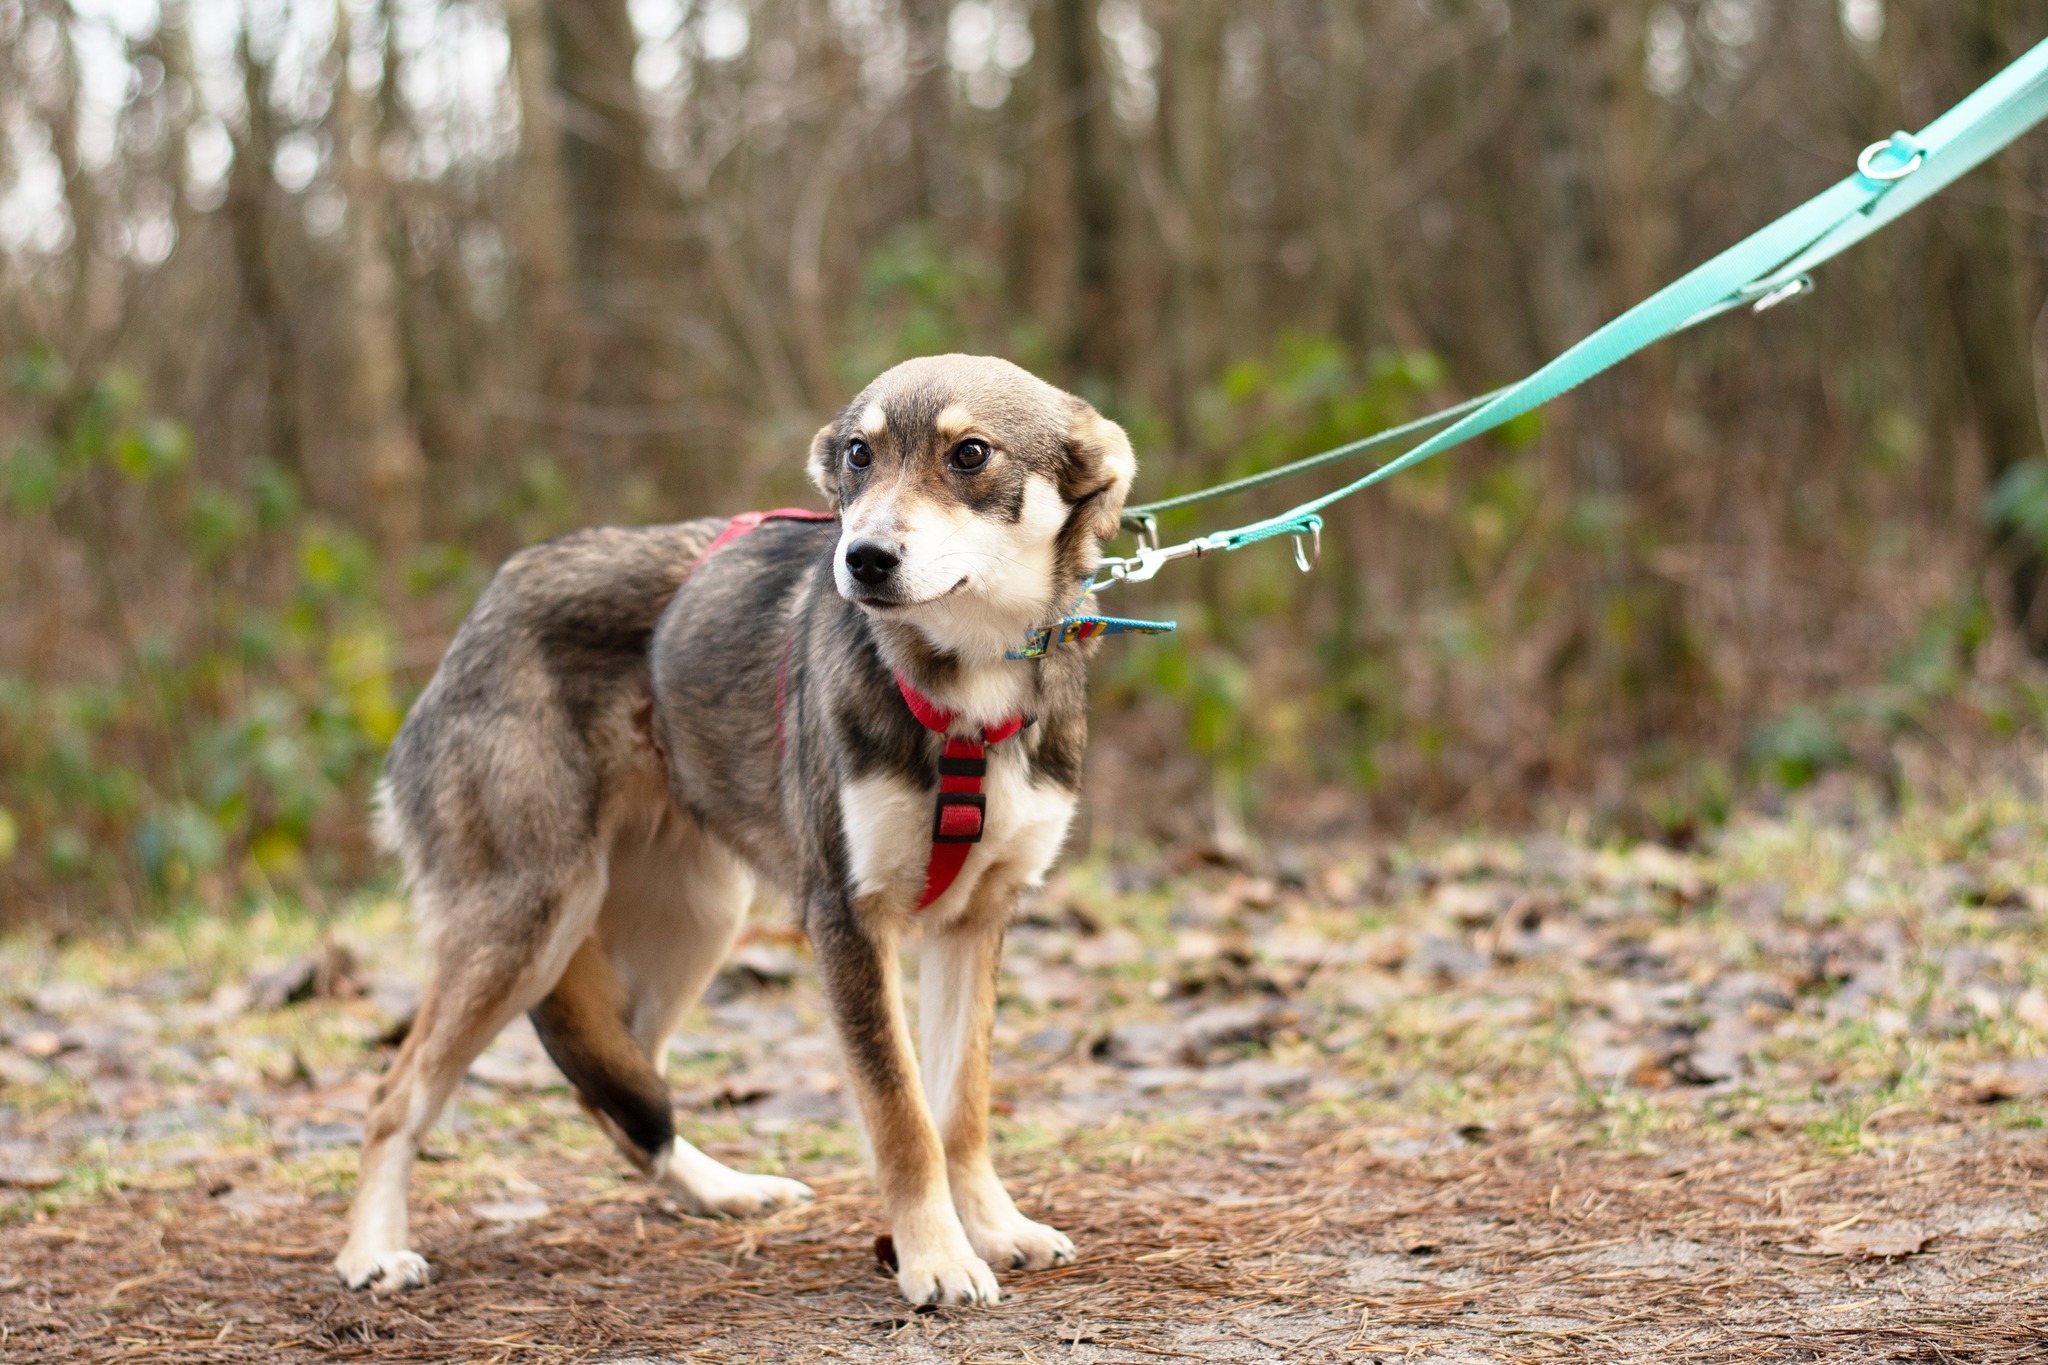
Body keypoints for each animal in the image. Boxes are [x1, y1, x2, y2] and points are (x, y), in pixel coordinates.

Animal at [335, 358, 1138, 1309]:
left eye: (970, 454)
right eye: (859, 454)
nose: (862, 559)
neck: (968, 694)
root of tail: (481, 613)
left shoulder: (976, 921)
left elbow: (962, 1109)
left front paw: (995, 1228)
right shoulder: (846, 920)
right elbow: (903, 1115)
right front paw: (937, 1258)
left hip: (692, 921)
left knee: (620, 1089)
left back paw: (722, 1190)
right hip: (528, 920)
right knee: (396, 1095)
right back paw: (372, 1251)